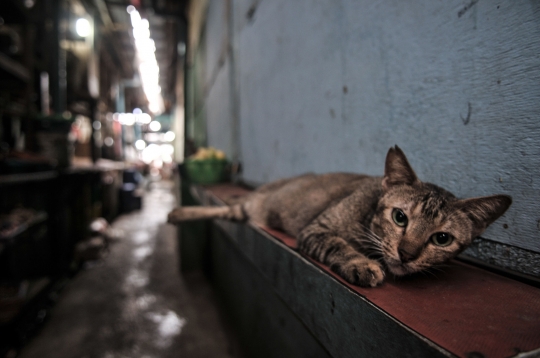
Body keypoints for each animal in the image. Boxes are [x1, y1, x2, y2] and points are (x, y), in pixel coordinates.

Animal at [168, 147, 510, 286]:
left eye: (442, 238)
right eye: (400, 217)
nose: (407, 254)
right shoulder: (317, 228)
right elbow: (339, 245)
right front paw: (362, 264)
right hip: (252, 205)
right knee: (225, 209)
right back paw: (178, 212)